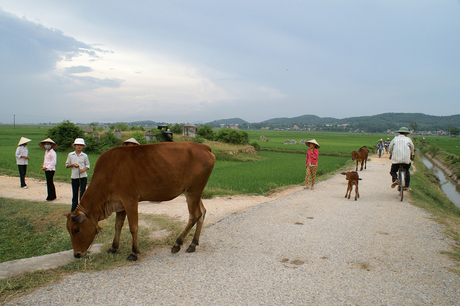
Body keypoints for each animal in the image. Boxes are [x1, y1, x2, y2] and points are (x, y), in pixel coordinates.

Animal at [64, 142, 216, 260]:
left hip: (193, 191)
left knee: (195, 215)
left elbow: (133, 227)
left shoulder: (130, 200)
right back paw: (193, 243)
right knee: (202, 212)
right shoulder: (119, 204)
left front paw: (134, 252)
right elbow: (118, 225)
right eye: (68, 230)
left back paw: (177, 244)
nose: (77, 254)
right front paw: (113, 247)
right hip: (194, 192)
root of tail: (203, 147)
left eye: (76, 229)